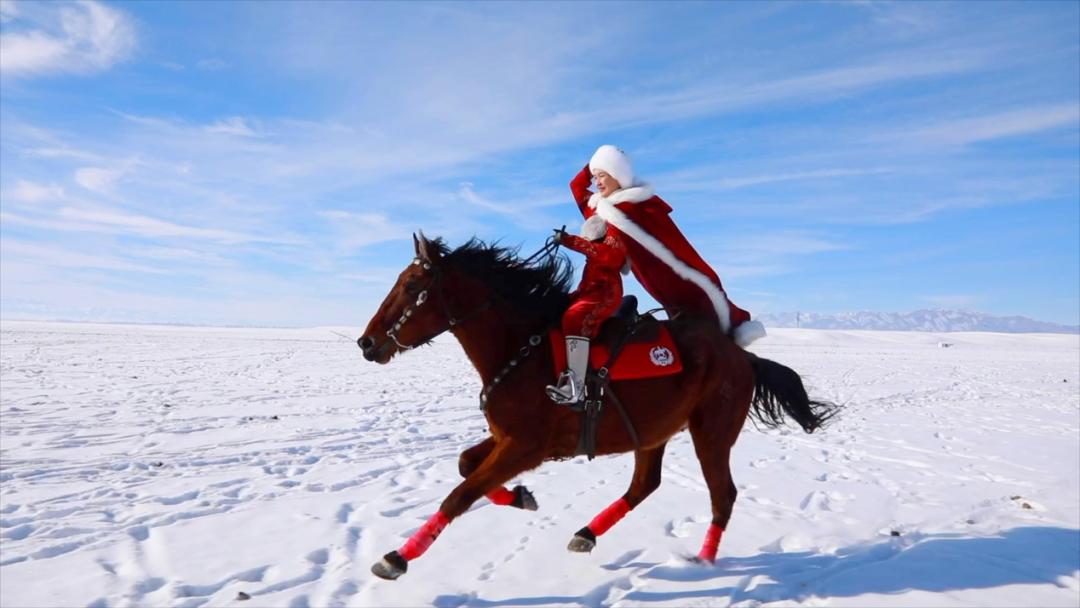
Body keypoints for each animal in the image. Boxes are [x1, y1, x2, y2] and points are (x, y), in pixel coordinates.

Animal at [358, 233, 829, 578]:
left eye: (412, 285)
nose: (367, 343)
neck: (522, 348)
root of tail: (743, 357)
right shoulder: (507, 438)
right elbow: (464, 466)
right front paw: (522, 497)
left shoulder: (525, 447)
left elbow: (459, 495)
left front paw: (397, 557)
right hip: (653, 431)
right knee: (645, 485)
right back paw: (586, 534)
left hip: (711, 433)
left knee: (722, 495)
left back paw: (703, 561)